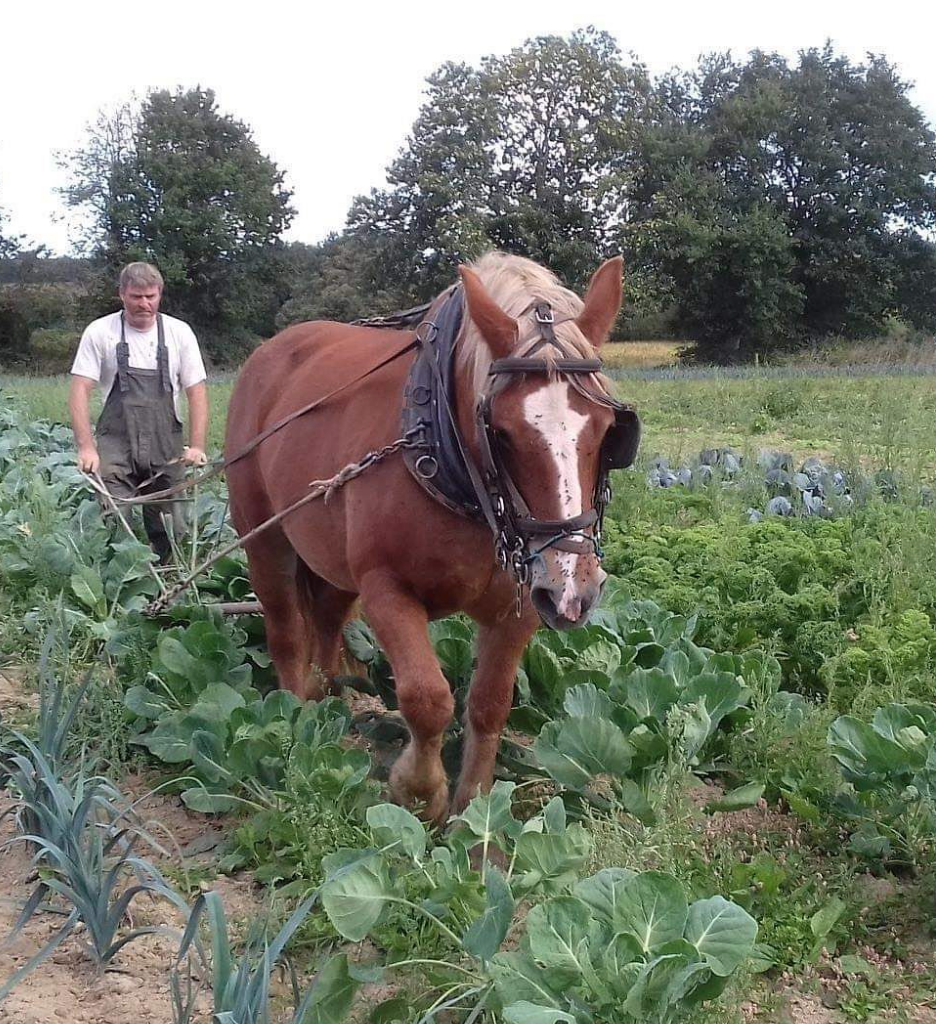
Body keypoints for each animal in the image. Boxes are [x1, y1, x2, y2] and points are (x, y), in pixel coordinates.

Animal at [222, 256, 639, 823]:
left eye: (607, 429)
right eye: (501, 433)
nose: (573, 591)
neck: (461, 481)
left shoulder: (522, 602)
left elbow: (490, 703)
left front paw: (474, 807)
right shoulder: (386, 589)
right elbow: (427, 698)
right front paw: (419, 793)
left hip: (331, 560)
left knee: (327, 619)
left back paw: (334, 704)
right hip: (264, 540)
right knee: (286, 629)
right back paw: (297, 719)